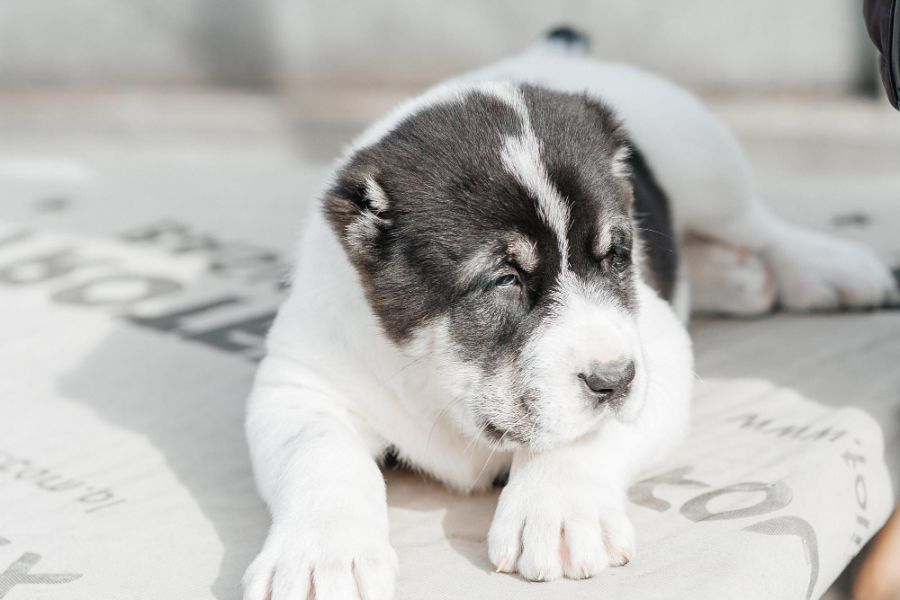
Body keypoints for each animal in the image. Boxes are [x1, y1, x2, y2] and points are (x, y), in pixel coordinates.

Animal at [243, 29, 896, 600]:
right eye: (505, 280)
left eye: (616, 256)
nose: (615, 380)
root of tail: (552, 50)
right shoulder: (299, 384)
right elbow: (321, 456)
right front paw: (318, 556)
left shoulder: (654, 349)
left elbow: (587, 430)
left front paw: (556, 508)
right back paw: (737, 279)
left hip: (706, 162)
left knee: (760, 225)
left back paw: (832, 269)